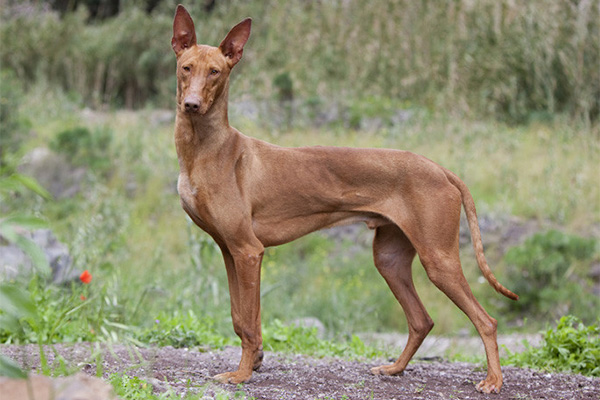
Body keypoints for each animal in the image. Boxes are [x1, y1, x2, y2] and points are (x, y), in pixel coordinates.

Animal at [171, 5, 516, 394]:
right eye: (187, 67)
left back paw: (493, 380)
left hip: (439, 258)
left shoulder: (248, 250)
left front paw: (242, 374)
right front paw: (255, 361)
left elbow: (246, 321)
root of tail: (441, 168)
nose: (192, 105)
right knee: (421, 320)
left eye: (215, 71)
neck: (207, 149)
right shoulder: (230, 250)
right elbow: (241, 317)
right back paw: (395, 368)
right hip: (390, 259)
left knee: (486, 320)